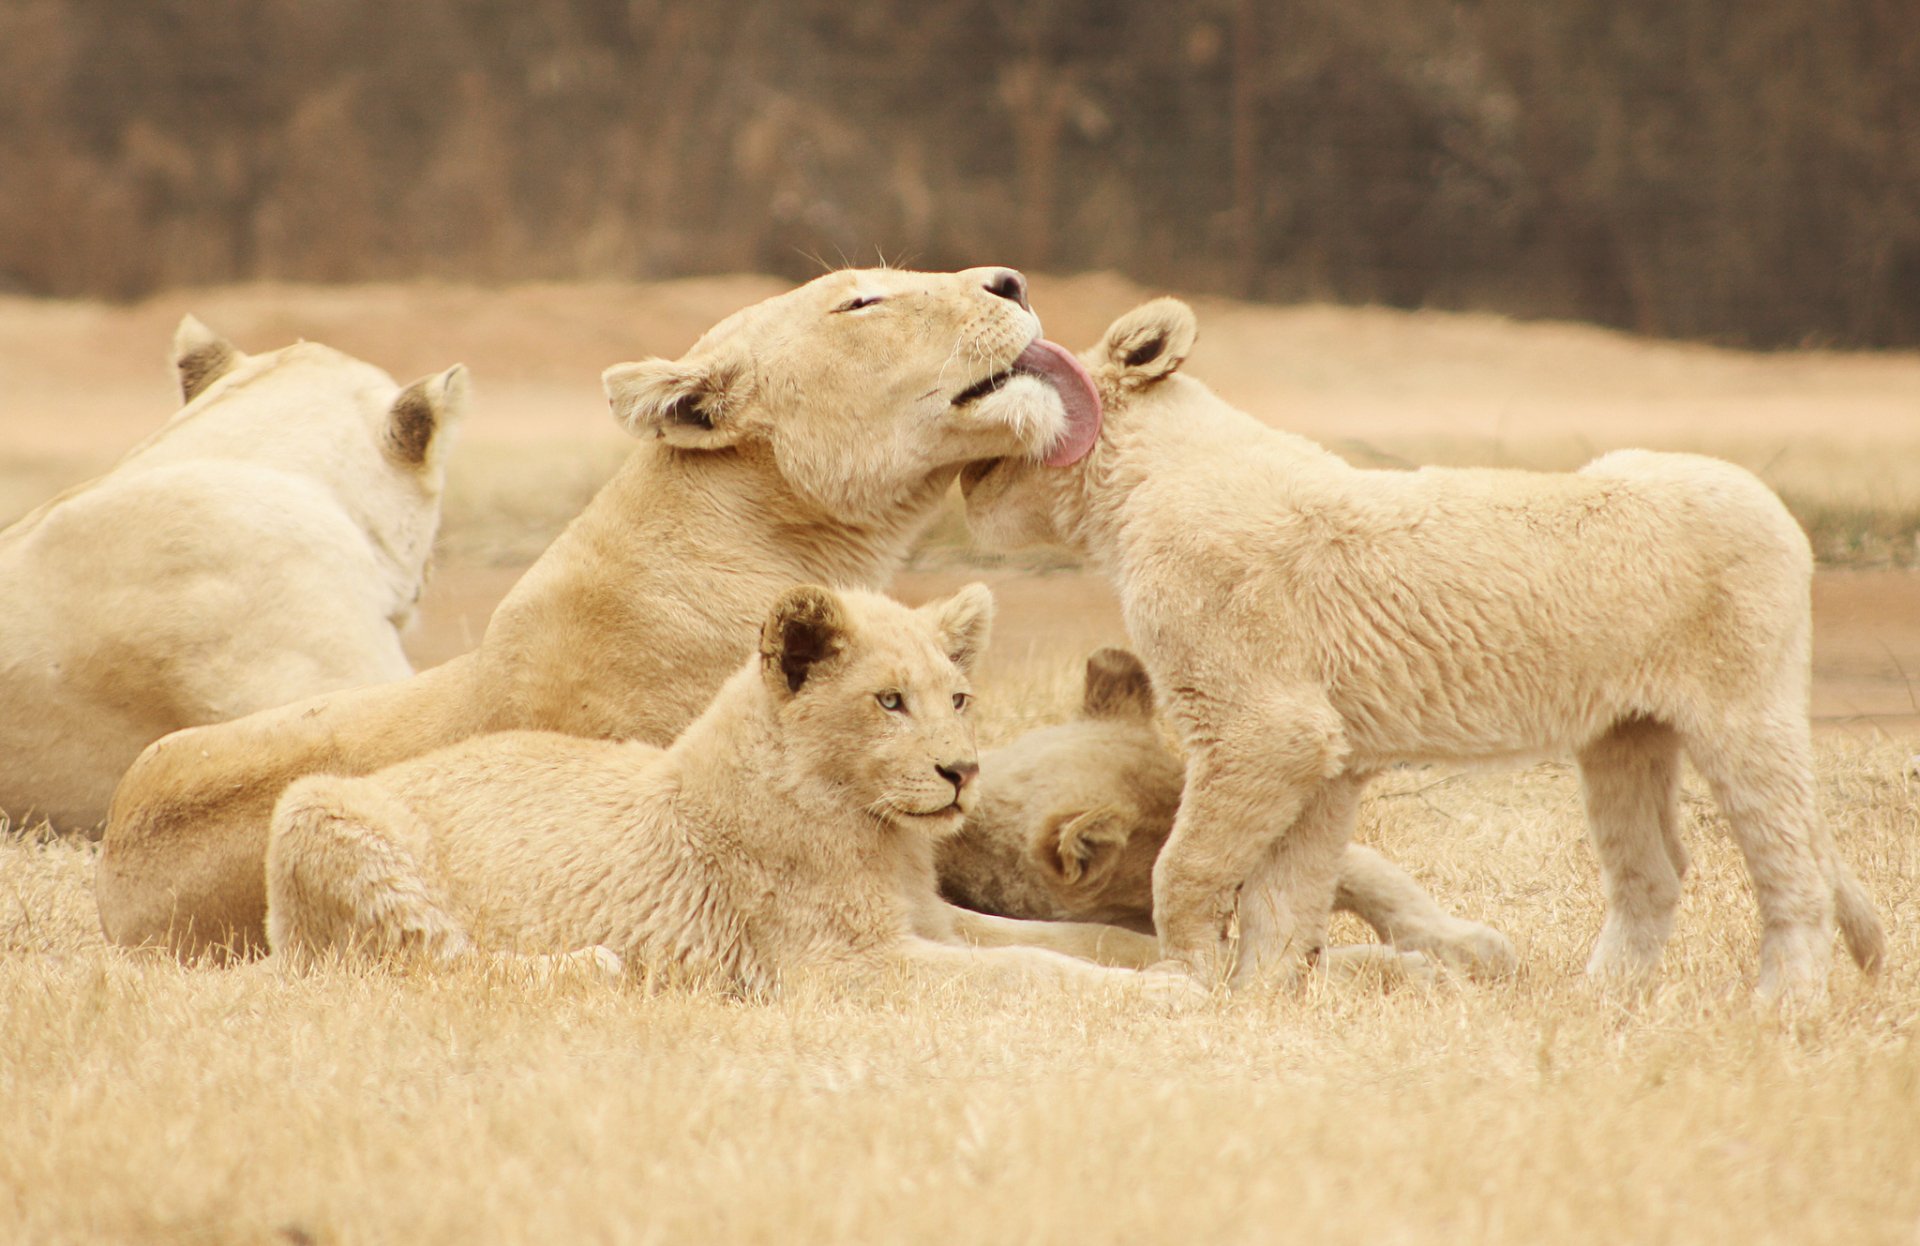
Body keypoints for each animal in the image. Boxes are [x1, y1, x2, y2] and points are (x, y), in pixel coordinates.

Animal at [266, 583, 1189, 999]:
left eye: (958, 698)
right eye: (889, 701)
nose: (961, 773)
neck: (881, 836)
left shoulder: (927, 919)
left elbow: (1059, 937)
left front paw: (1160, 955)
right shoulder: (846, 967)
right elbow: (1027, 968)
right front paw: (1166, 990)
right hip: (313, 807)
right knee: (422, 961)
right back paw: (590, 964)